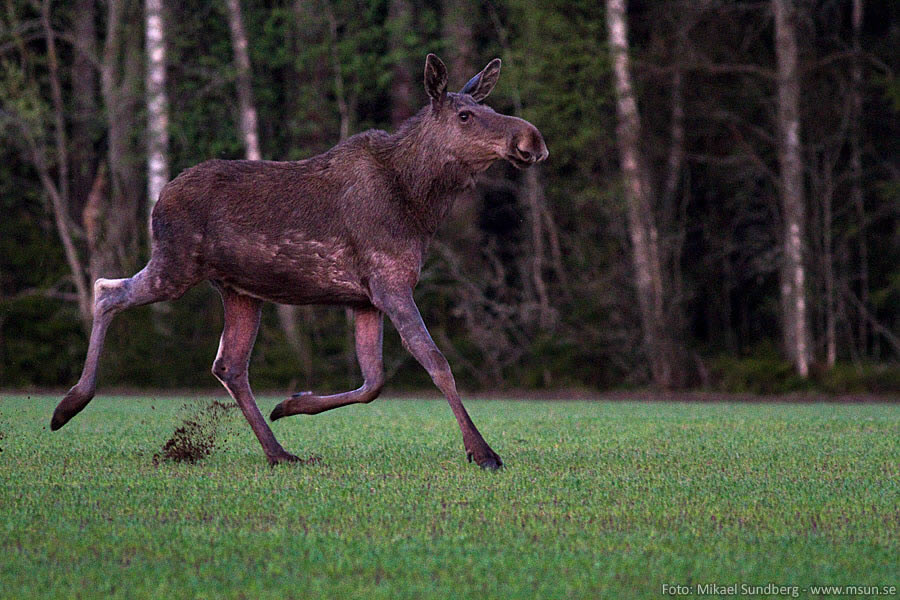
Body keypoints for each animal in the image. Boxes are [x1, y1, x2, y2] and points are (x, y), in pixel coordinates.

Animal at [56, 54, 552, 468]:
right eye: (466, 115)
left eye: (489, 108)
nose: (532, 139)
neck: (420, 204)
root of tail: (158, 201)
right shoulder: (390, 279)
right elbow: (434, 361)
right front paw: (483, 452)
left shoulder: (364, 298)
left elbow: (373, 381)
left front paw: (292, 403)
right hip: (176, 265)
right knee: (106, 291)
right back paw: (69, 404)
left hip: (238, 289)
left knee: (228, 364)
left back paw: (279, 452)